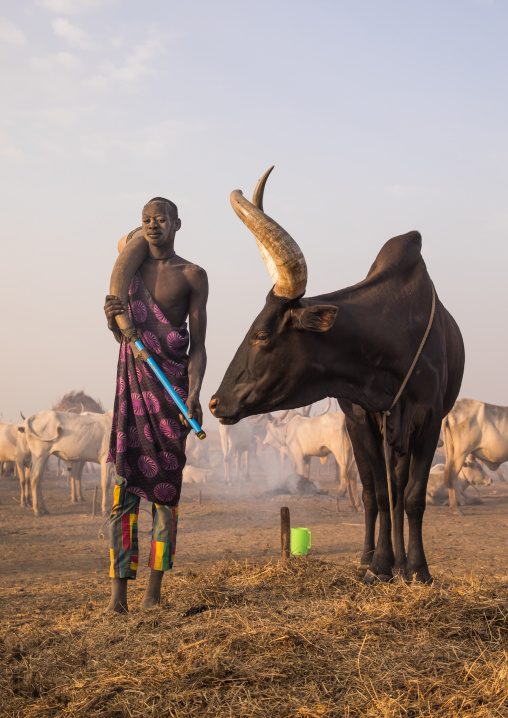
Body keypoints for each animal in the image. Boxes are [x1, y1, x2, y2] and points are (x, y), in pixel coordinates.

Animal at [209, 167, 464, 584]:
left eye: (261, 335)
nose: (216, 403)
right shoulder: (361, 418)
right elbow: (378, 495)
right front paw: (379, 566)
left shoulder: (430, 420)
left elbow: (412, 496)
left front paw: (418, 569)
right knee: (374, 493)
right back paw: (372, 557)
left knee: (398, 489)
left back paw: (402, 561)